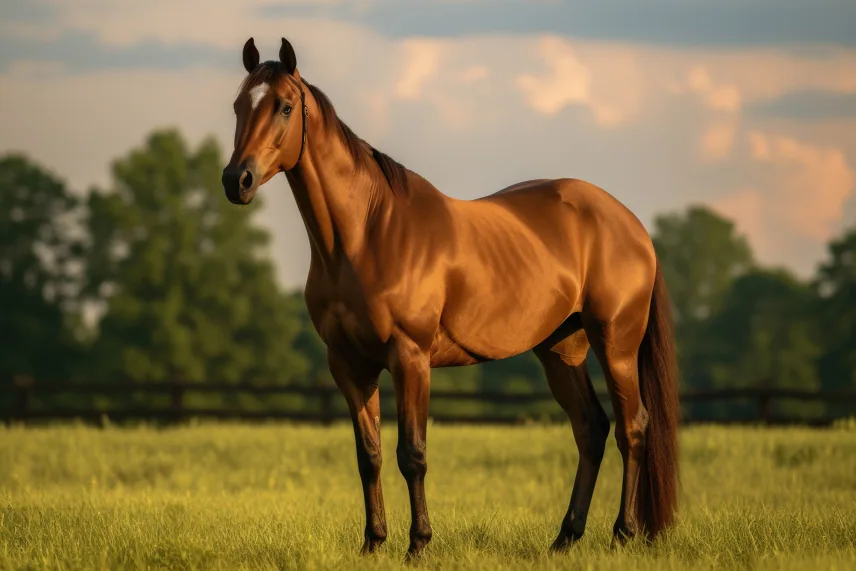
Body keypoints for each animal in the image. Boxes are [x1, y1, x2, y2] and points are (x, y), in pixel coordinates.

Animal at [222, 37, 680, 559]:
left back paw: (623, 533)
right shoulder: (349, 364)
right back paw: (565, 537)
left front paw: (418, 544)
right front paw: (373, 543)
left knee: (632, 428)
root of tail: (631, 225)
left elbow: (412, 454)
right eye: (238, 105)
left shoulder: (410, 359)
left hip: (616, 344)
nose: (237, 180)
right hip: (561, 350)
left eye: (284, 106)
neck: (365, 235)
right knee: (591, 429)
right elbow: (369, 455)